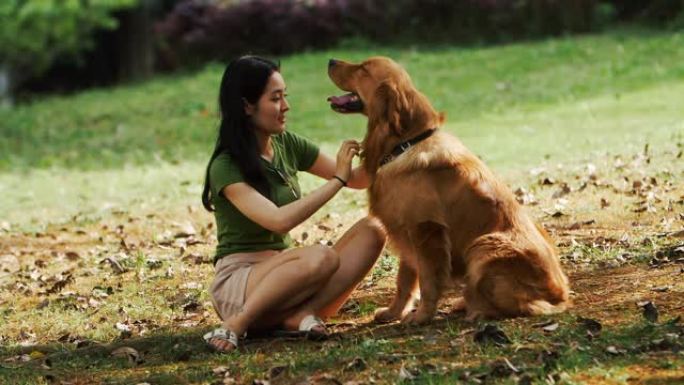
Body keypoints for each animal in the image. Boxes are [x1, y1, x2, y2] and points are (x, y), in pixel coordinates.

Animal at [326, 55, 568, 322]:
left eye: (363, 68)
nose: (330, 60)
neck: (406, 143)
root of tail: (561, 296)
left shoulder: (425, 228)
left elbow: (428, 281)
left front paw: (421, 316)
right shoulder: (406, 232)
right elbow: (404, 281)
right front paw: (394, 312)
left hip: (484, 247)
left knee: (525, 305)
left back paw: (477, 309)